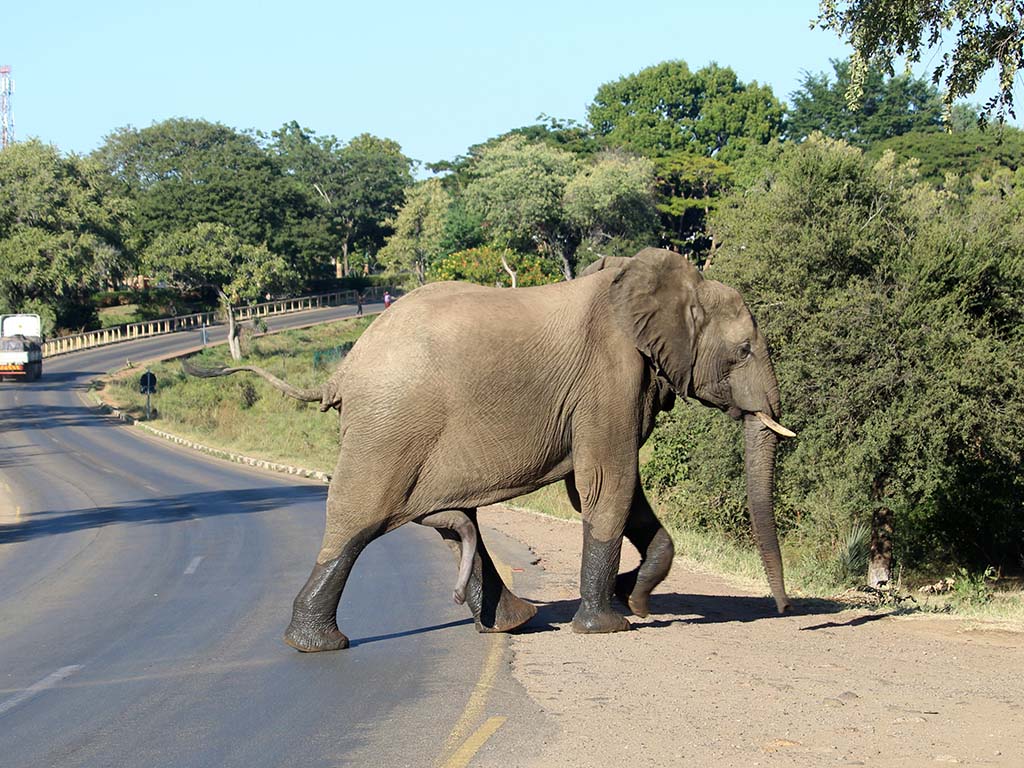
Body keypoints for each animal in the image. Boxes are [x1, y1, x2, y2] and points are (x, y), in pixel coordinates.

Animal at [184, 249, 794, 651]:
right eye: (744, 350)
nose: (787, 611)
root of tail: (343, 369)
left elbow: (605, 490)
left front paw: (636, 598)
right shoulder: (608, 376)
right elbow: (606, 485)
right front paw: (609, 626)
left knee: (453, 519)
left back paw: (514, 621)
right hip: (390, 426)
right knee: (359, 517)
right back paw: (317, 644)